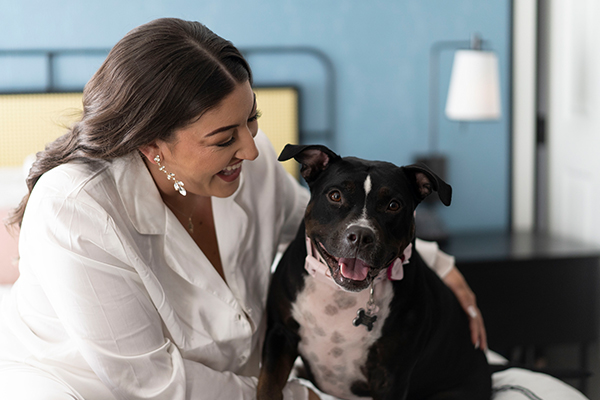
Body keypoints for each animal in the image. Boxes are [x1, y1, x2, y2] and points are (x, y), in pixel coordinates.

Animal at [255, 145, 490, 400]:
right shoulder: (280, 334)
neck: (339, 294)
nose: (360, 235)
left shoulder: (390, 375)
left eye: (393, 205)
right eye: (335, 196)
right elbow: (268, 385)